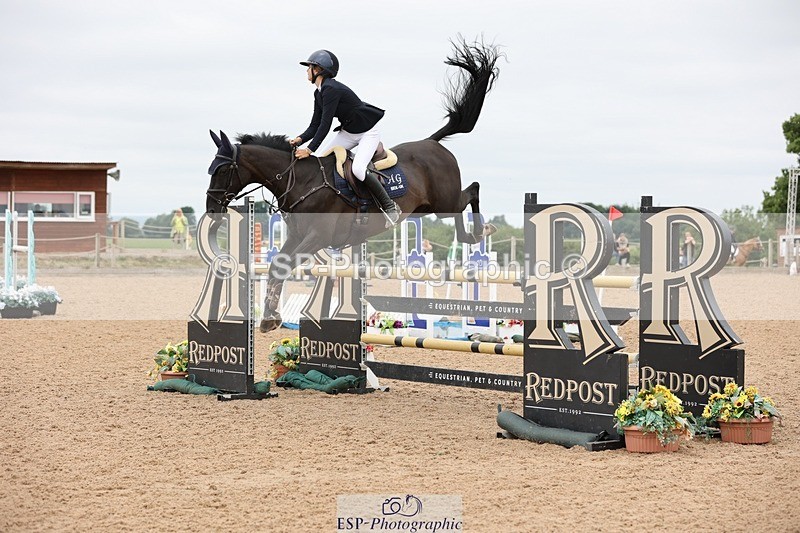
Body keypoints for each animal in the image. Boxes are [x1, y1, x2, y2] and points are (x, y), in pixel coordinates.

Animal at [205, 37, 502, 333]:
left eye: (222, 170)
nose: (211, 209)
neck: (301, 180)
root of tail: (432, 141)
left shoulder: (318, 237)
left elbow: (282, 268)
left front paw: (269, 317)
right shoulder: (297, 236)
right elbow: (277, 266)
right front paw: (270, 316)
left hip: (443, 201)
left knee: (471, 192)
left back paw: (480, 231)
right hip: (426, 207)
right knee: (464, 201)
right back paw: (475, 233)